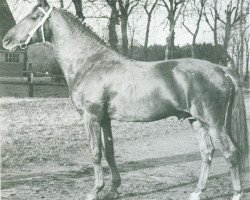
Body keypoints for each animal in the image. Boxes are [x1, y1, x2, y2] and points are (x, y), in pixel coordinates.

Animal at [2, 0, 249, 199]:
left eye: (34, 17)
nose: (6, 40)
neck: (90, 62)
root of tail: (221, 70)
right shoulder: (105, 119)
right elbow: (110, 152)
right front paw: (113, 189)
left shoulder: (91, 118)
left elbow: (95, 152)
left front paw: (95, 191)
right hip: (195, 121)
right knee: (207, 152)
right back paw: (197, 191)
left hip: (214, 123)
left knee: (231, 152)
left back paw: (236, 193)